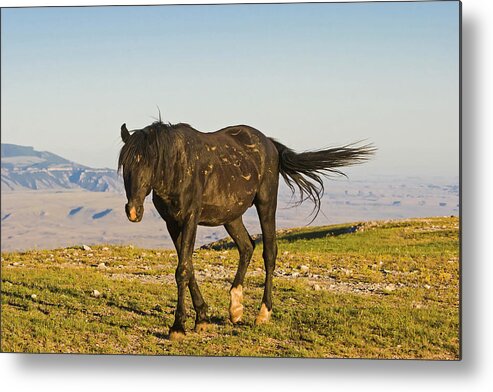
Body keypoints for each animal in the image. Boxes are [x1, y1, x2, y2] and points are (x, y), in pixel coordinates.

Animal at [119, 120, 372, 340]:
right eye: (125, 166)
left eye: (149, 163)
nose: (133, 211)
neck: (178, 169)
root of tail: (269, 143)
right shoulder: (172, 223)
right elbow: (188, 267)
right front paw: (202, 318)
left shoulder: (190, 218)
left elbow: (182, 270)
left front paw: (178, 327)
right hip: (232, 216)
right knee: (247, 246)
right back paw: (235, 308)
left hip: (266, 203)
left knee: (269, 252)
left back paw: (263, 313)